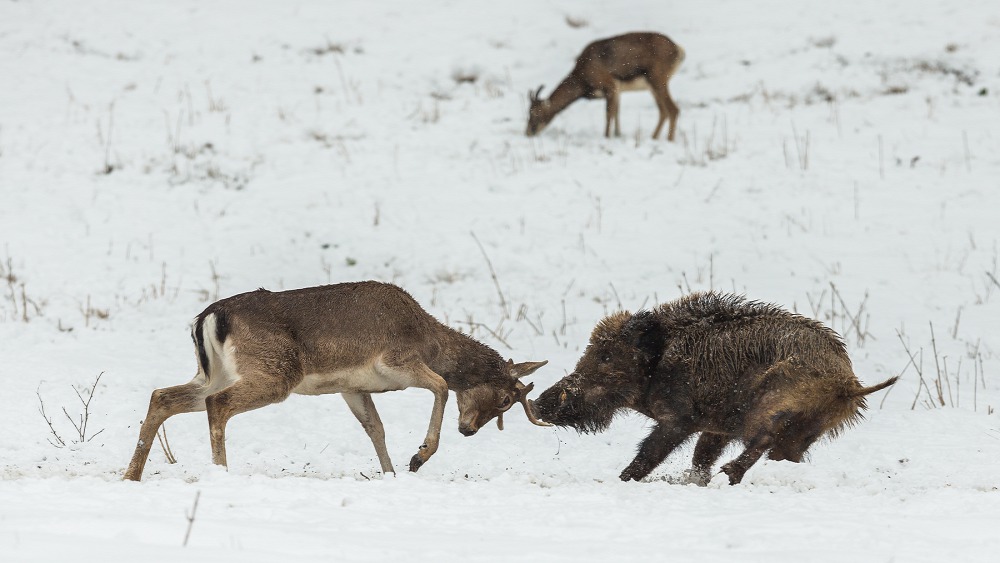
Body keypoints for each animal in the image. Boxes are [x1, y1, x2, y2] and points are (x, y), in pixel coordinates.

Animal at [125, 282, 552, 480]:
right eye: (505, 401)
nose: (468, 430)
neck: (430, 342)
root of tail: (208, 317)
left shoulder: (352, 386)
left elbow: (375, 428)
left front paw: (392, 474)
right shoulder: (396, 360)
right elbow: (443, 386)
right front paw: (418, 457)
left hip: (214, 372)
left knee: (162, 395)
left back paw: (131, 475)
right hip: (274, 372)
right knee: (218, 405)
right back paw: (221, 473)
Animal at [524, 31, 688, 140]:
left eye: (535, 113)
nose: (528, 132)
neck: (583, 81)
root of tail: (679, 50)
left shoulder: (609, 85)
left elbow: (609, 113)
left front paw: (607, 136)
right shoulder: (617, 90)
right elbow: (616, 112)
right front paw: (617, 134)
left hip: (658, 79)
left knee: (673, 109)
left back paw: (669, 139)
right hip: (653, 85)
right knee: (664, 111)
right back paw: (654, 137)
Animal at [532, 294, 900, 486]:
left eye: (606, 356)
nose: (537, 405)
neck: (658, 364)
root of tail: (847, 383)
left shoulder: (678, 419)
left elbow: (651, 452)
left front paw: (622, 480)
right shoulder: (715, 427)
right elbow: (701, 456)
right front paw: (695, 481)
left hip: (774, 400)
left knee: (764, 436)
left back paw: (731, 474)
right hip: (807, 431)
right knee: (785, 453)